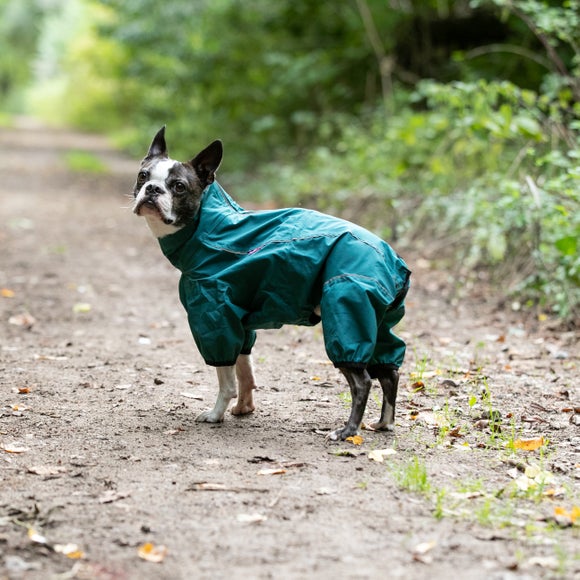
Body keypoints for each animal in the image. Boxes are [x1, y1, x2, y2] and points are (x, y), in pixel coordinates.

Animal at [134, 127, 410, 442]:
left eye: (179, 186)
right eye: (143, 175)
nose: (152, 189)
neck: (209, 228)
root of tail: (394, 261)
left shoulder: (215, 319)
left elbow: (226, 379)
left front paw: (216, 414)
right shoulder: (240, 324)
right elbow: (245, 372)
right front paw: (244, 408)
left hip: (349, 314)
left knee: (362, 381)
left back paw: (347, 431)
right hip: (379, 324)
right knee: (389, 372)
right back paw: (384, 423)